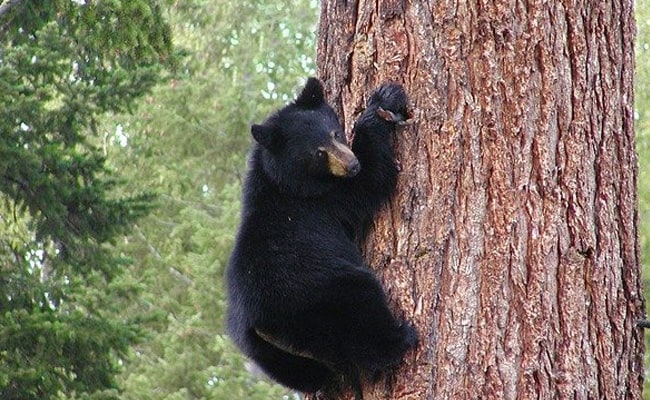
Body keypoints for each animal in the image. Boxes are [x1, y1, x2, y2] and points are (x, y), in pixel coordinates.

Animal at [224, 77, 416, 396]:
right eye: (318, 153)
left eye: (335, 133)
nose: (351, 164)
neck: (278, 180)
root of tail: (261, 326)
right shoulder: (324, 200)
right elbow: (372, 180)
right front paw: (382, 104)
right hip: (322, 299)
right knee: (362, 313)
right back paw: (402, 338)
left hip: (267, 354)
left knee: (305, 372)